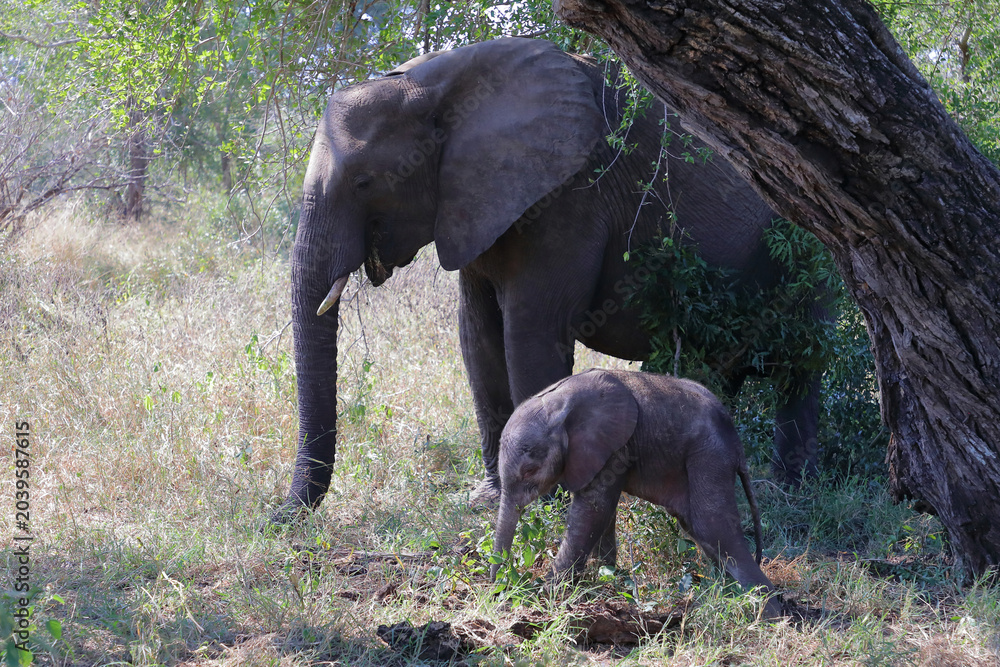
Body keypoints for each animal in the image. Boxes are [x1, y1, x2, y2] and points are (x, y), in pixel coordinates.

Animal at [277, 36, 823, 521]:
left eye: (364, 182)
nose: (279, 519)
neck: (432, 83)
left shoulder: (569, 195)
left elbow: (530, 334)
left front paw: (544, 501)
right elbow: (478, 340)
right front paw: (488, 499)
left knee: (804, 361)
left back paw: (790, 491)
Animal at [489, 368, 781, 617]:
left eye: (530, 470)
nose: (497, 592)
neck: (557, 402)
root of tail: (736, 442)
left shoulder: (614, 444)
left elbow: (593, 510)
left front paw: (547, 593)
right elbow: (601, 513)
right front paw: (604, 579)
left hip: (709, 454)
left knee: (712, 525)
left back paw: (767, 615)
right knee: (697, 527)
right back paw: (731, 597)